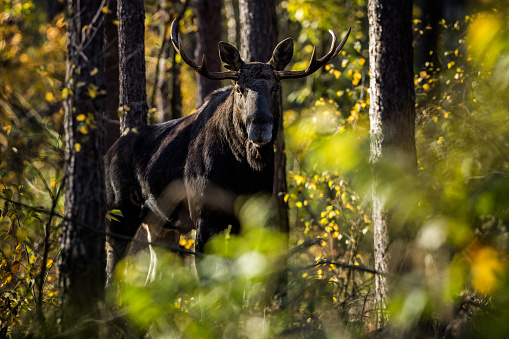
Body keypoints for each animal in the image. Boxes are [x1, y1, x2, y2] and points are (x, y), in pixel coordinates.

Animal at [103, 19, 350, 284]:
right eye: (239, 88)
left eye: (275, 87)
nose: (260, 127)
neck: (243, 172)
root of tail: (108, 153)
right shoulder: (205, 217)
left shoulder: (250, 217)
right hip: (120, 213)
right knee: (112, 269)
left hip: (161, 225)